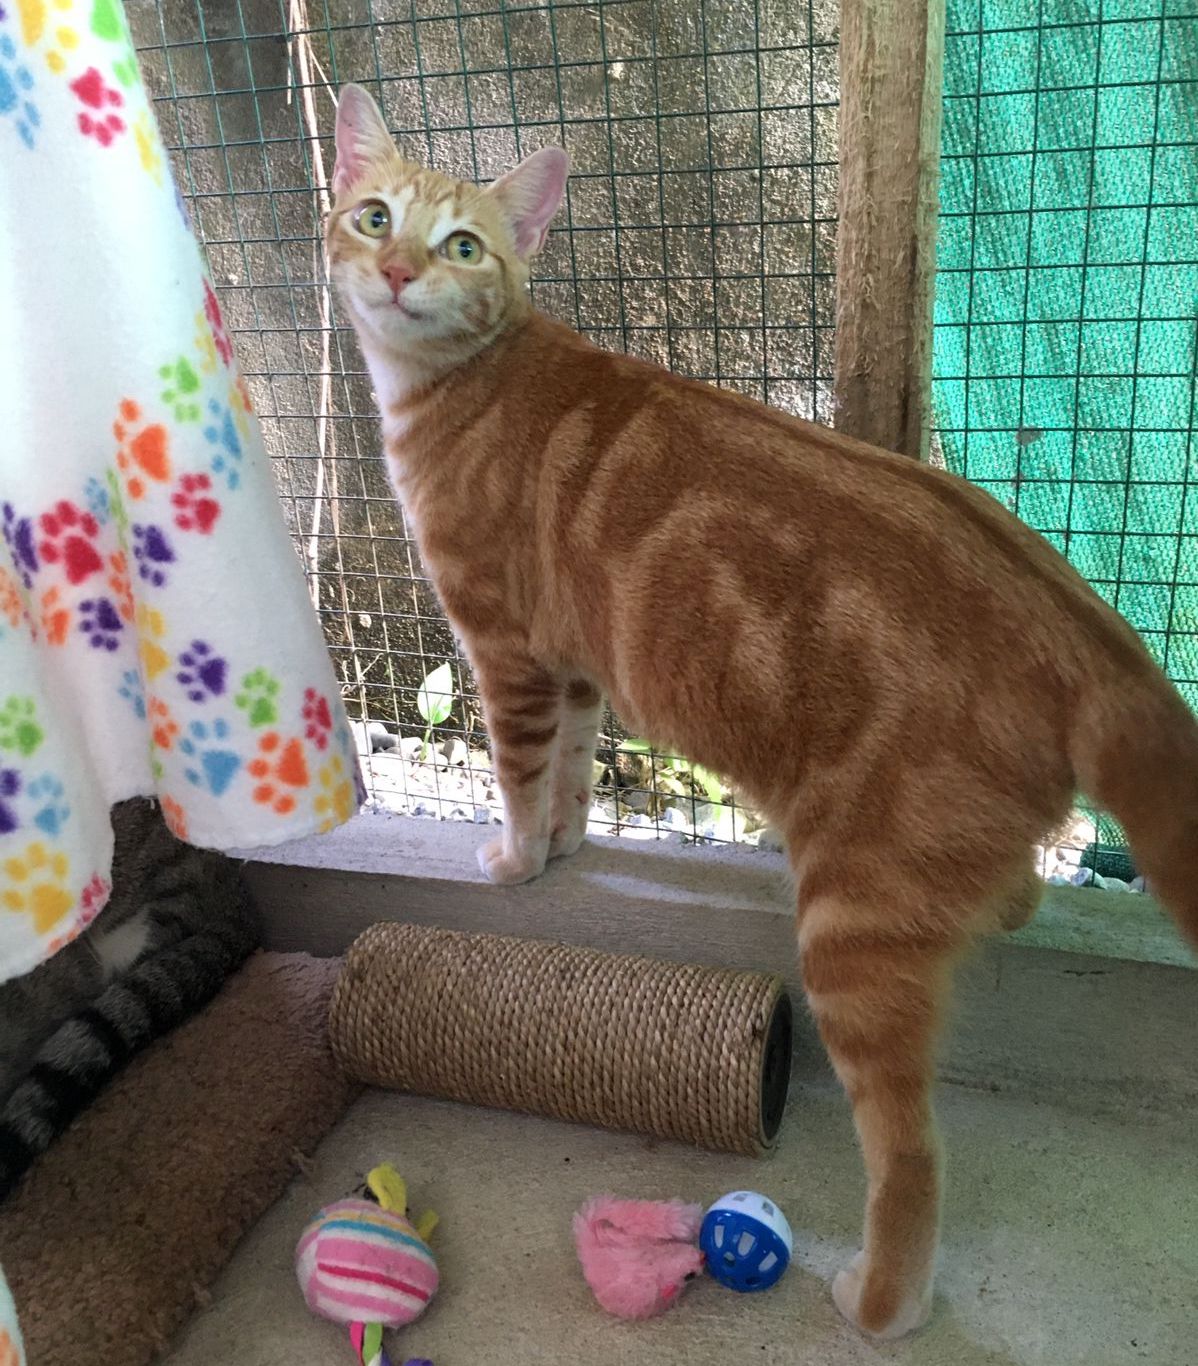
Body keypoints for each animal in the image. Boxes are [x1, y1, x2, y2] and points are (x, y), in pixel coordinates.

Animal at [327, 82, 1196, 1333]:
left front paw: (516, 859)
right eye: (374, 216)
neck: (459, 383)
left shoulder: (502, 648)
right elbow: (575, 766)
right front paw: (572, 840)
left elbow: (519, 771)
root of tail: (1088, 628)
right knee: (1018, 890)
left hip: (851, 927)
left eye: (460, 245)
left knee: (912, 1154)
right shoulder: (575, 665)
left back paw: (880, 1303)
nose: (397, 270)